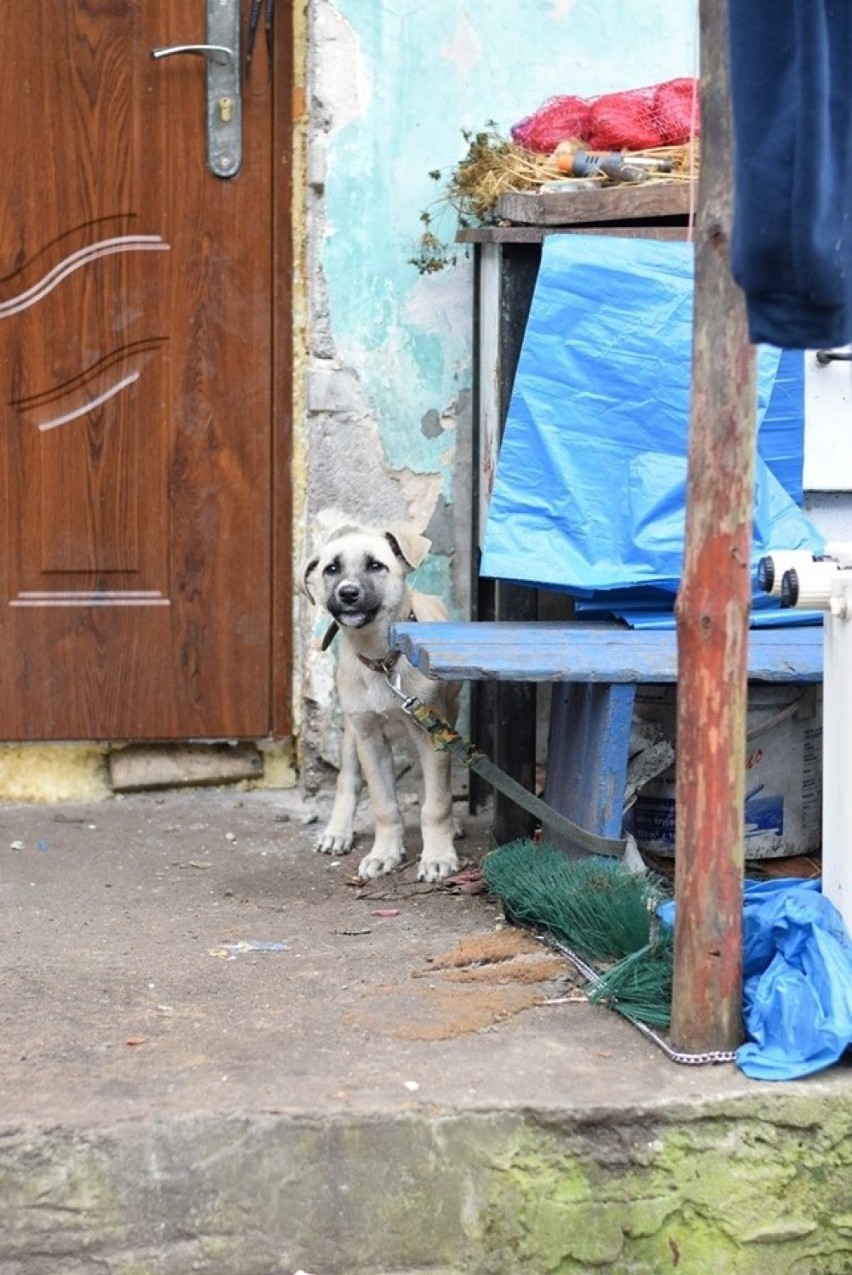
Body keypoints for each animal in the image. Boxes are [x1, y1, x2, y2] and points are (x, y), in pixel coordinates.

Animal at [301, 522, 459, 882]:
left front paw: (438, 856)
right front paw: (384, 853)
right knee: (347, 779)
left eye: (376, 565)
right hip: (351, 732)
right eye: (332, 569)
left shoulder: (431, 735)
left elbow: (437, 802)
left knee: (427, 781)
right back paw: (337, 832)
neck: (383, 661)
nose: (348, 593)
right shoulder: (369, 739)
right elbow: (384, 805)